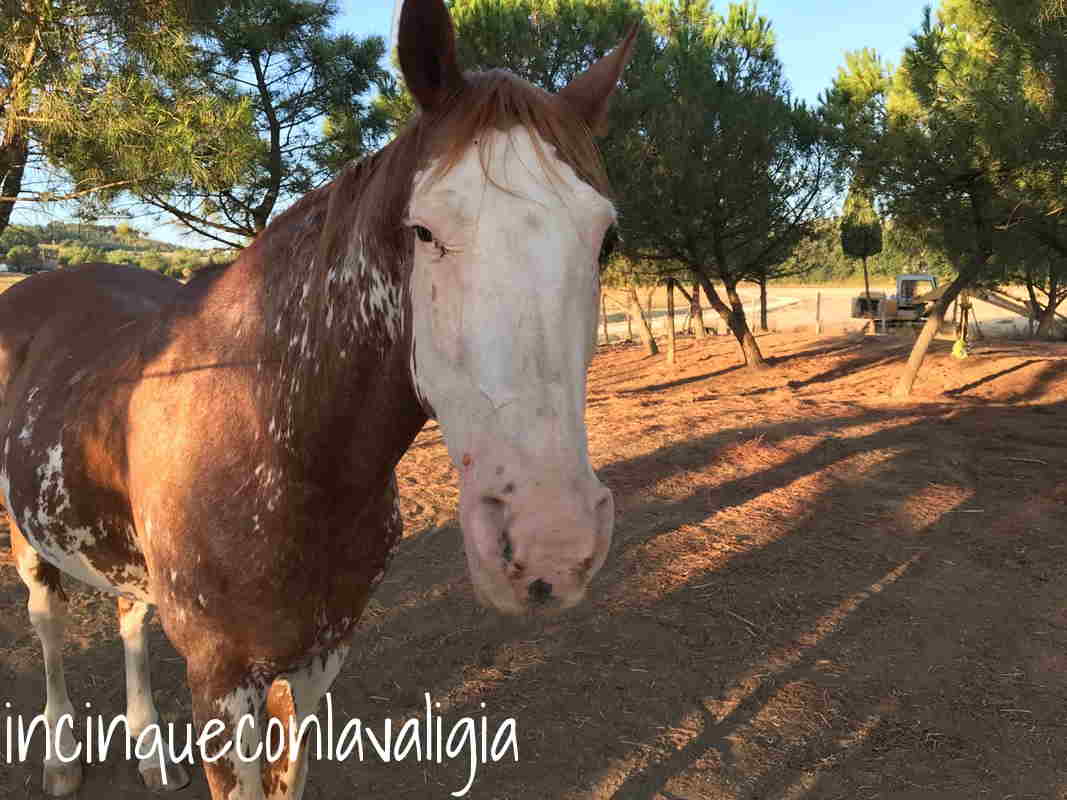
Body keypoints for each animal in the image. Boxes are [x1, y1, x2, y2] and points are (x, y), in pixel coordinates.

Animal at [0, 0, 635, 797]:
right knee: (48, 628)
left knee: (128, 619)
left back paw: (147, 747)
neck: (269, 430)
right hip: (29, 543)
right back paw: (59, 758)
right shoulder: (219, 680)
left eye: (605, 240)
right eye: (424, 230)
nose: (550, 541)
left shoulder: (316, 658)